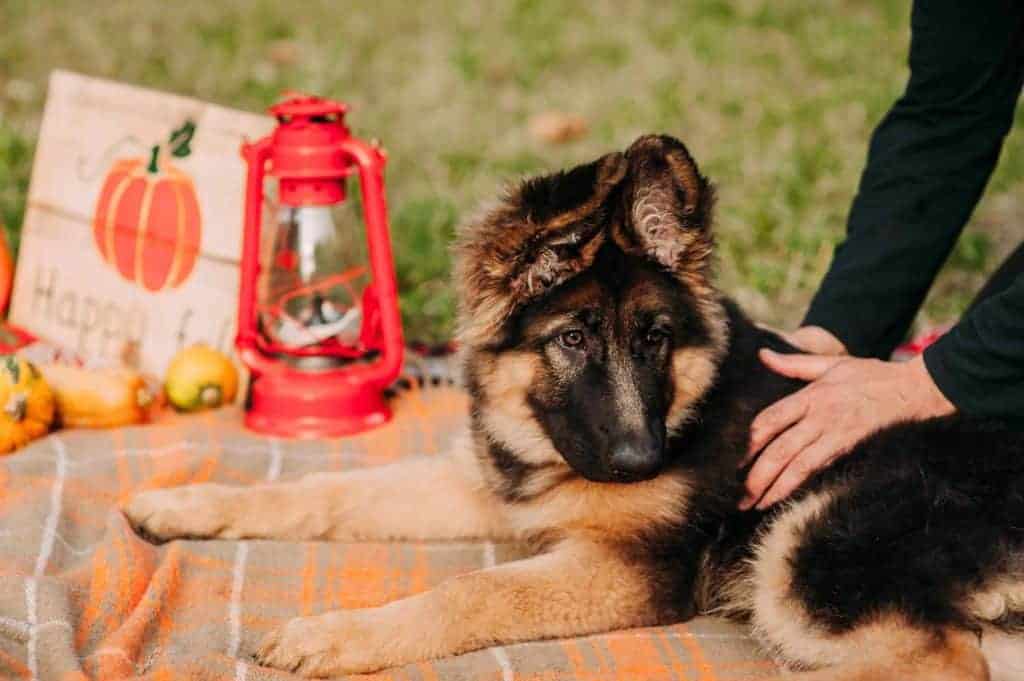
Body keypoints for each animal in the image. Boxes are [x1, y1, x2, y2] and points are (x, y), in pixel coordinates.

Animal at [125, 135, 1024, 675]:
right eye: (572, 339)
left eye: (656, 338)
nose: (640, 462)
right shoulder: (487, 488)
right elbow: (324, 490)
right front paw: (187, 503)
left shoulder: (628, 568)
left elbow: (475, 592)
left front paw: (333, 633)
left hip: (806, 546)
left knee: (947, 660)